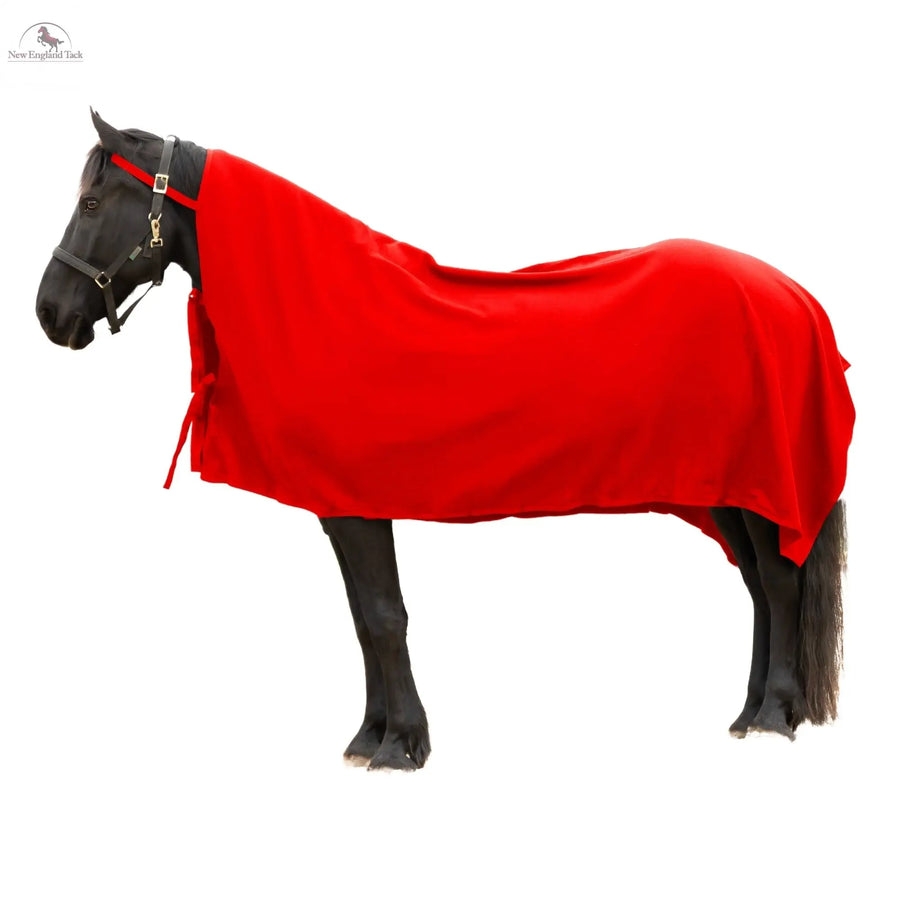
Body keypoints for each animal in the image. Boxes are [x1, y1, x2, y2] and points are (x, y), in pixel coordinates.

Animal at [34, 110, 853, 771]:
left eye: (91, 202)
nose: (49, 313)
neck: (328, 302)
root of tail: (793, 296)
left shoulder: (360, 506)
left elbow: (384, 616)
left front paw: (402, 745)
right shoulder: (343, 505)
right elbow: (364, 621)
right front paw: (369, 738)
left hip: (760, 483)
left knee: (779, 583)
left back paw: (773, 718)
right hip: (725, 489)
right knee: (758, 586)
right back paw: (748, 714)